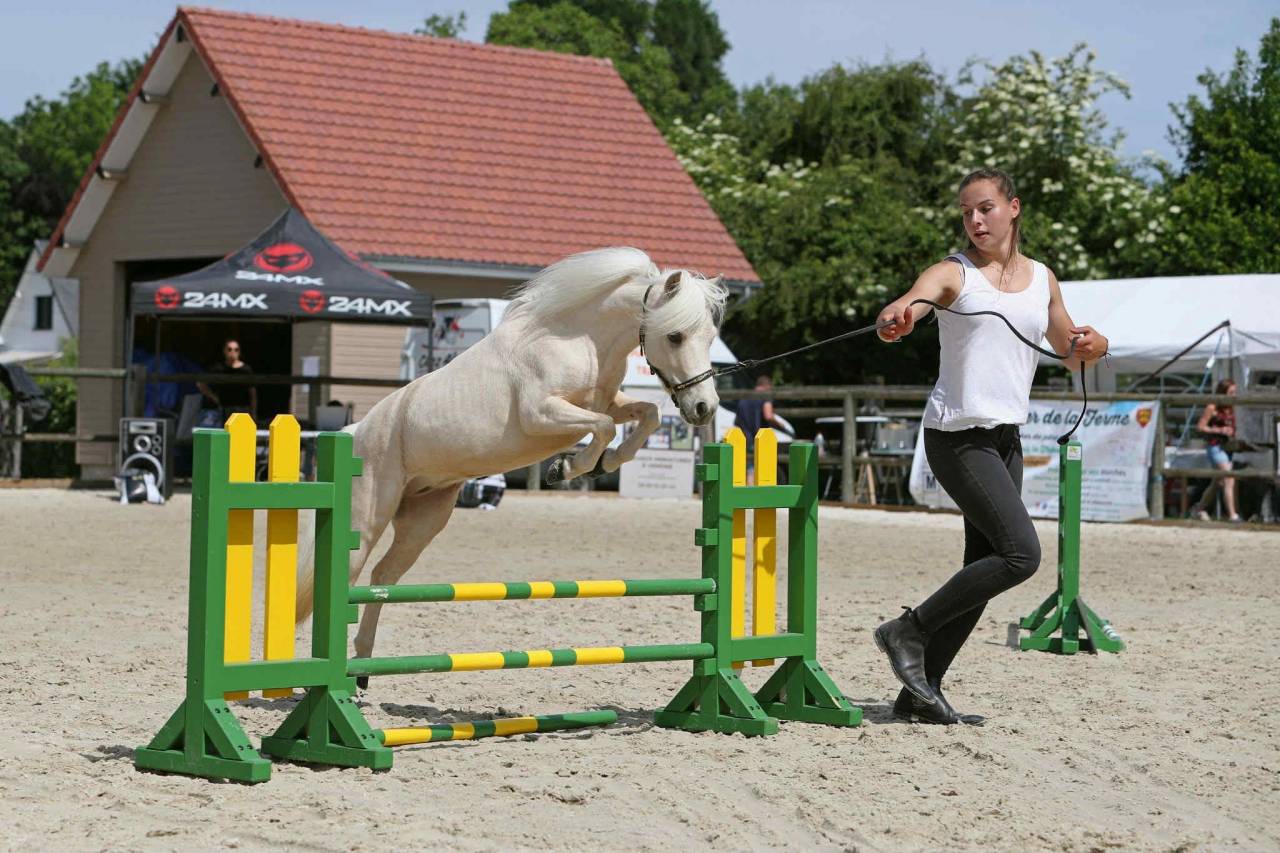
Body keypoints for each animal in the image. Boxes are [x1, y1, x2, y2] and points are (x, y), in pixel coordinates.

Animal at [295, 247, 729, 677]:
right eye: (675, 335)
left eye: (709, 336)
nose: (704, 408)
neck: (580, 339)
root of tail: (355, 431)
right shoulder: (543, 414)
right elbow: (604, 427)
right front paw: (567, 468)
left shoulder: (607, 403)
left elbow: (646, 415)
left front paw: (608, 462)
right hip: (367, 520)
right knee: (347, 575)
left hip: (424, 520)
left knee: (383, 576)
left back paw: (363, 665)